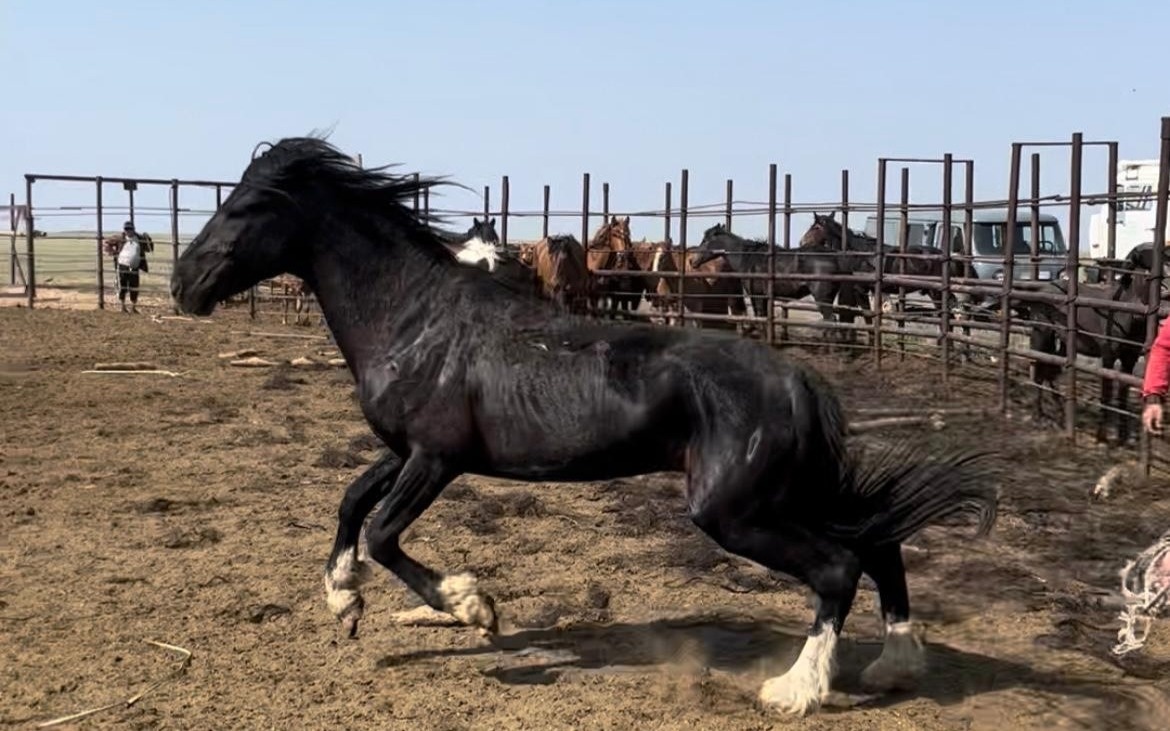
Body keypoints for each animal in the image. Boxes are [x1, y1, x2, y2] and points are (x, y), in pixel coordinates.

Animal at [170, 136, 999, 718]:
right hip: (789, 493)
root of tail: (798, 379)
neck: (415, 320)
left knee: (838, 567)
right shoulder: (402, 449)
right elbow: (349, 504)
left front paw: (473, 606)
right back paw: (894, 666)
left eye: (244, 208)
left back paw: (796, 690)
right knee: (881, 544)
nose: (182, 282)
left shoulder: (436, 457)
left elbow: (382, 533)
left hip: (736, 511)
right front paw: (345, 602)